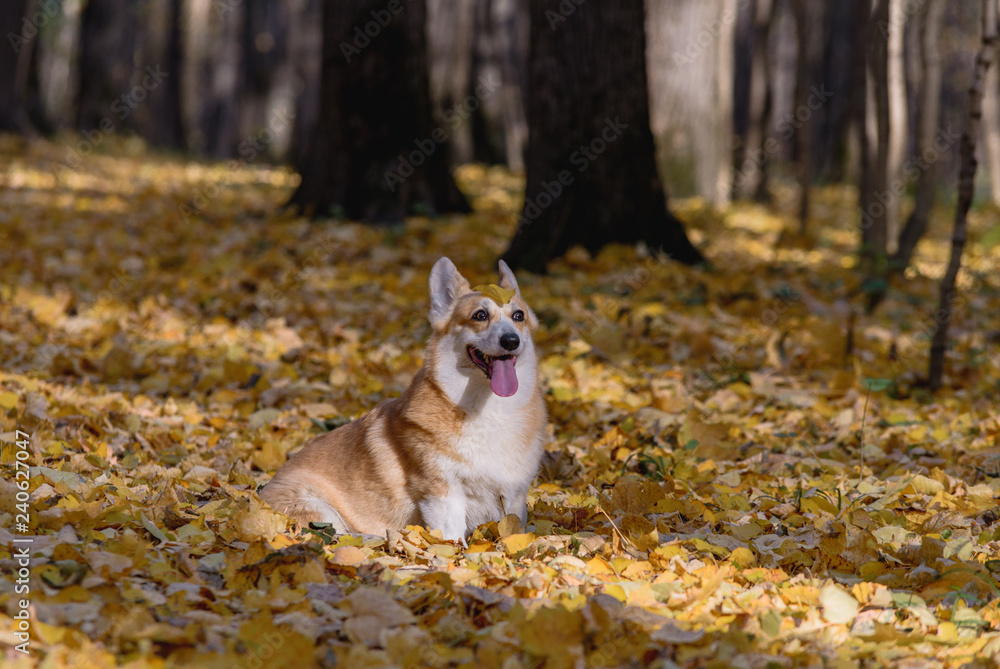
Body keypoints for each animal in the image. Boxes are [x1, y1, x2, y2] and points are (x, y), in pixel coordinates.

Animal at [262, 258, 548, 540]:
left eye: (519, 316)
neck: (490, 409)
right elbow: (451, 538)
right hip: (319, 509)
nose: (511, 341)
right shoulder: (441, 492)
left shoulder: (513, 496)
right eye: (480, 315)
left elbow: (513, 530)